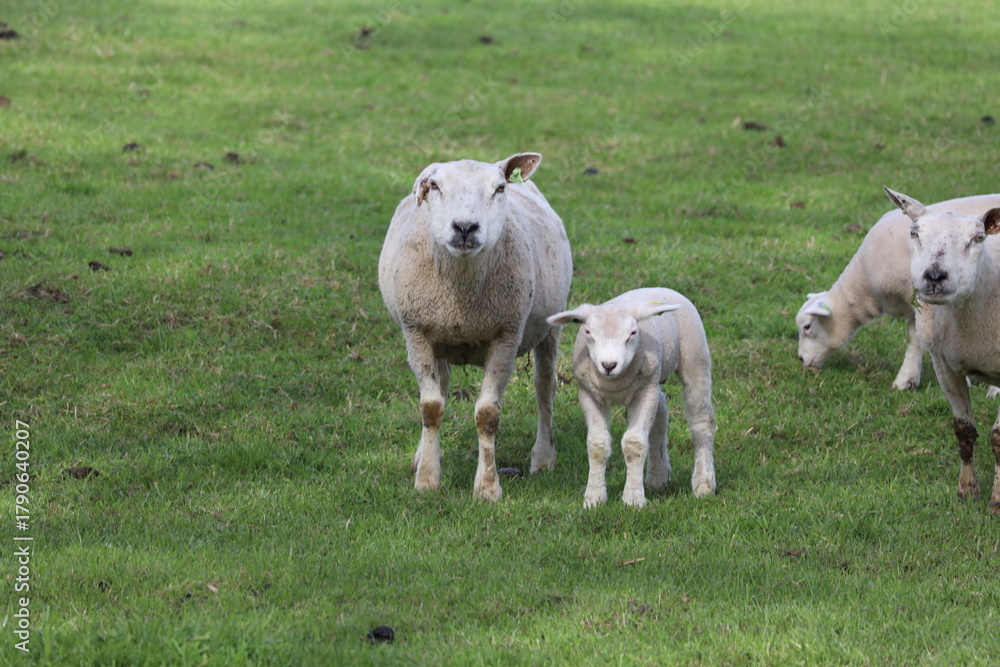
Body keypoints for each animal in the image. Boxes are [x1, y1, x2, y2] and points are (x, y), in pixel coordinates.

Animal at [377, 152, 573, 501]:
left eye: (499, 188)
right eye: (435, 186)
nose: (465, 227)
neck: (463, 294)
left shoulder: (506, 335)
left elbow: (487, 415)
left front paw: (487, 488)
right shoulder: (417, 333)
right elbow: (431, 408)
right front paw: (427, 479)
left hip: (550, 325)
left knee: (545, 387)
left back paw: (543, 457)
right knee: (441, 386)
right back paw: (423, 455)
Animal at [547, 288, 716, 508]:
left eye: (633, 333)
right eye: (588, 332)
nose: (609, 365)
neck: (614, 383)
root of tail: (660, 288)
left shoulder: (644, 393)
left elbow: (634, 443)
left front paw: (633, 499)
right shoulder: (588, 394)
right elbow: (597, 445)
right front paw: (594, 497)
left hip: (695, 358)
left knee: (701, 423)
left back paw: (703, 484)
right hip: (655, 379)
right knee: (661, 415)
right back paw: (658, 477)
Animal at [796, 194, 1000, 391]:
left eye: (807, 327)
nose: (801, 360)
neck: (864, 285)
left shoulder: (922, 303)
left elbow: (916, 338)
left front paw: (905, 380)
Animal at [884, 186, 1000, 514]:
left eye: (978, 238)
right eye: (914, 232)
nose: (935, 277)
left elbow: (999, 438)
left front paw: (996, 502)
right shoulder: (944, 364)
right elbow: (964, 430)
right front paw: (967, 492)